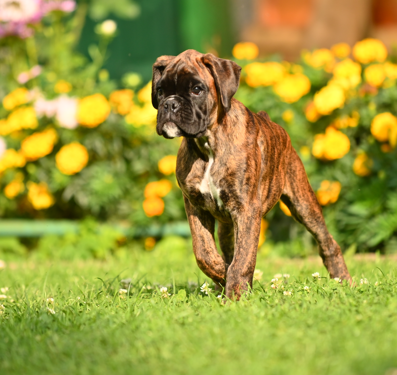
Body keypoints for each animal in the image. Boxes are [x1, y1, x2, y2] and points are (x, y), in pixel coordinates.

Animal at [151, 49, 350, 300]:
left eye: (197, 89)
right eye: (160, 91)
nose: (170, 104)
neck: (208, 144)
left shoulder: (246, 209)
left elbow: (243, 258)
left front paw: (235, 291)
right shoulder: (195, 205)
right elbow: (204, 252)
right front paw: (221, 275)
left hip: (303, 204)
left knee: (327, 242)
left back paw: (343, 279)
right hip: (227, 225)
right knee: (227, 248)